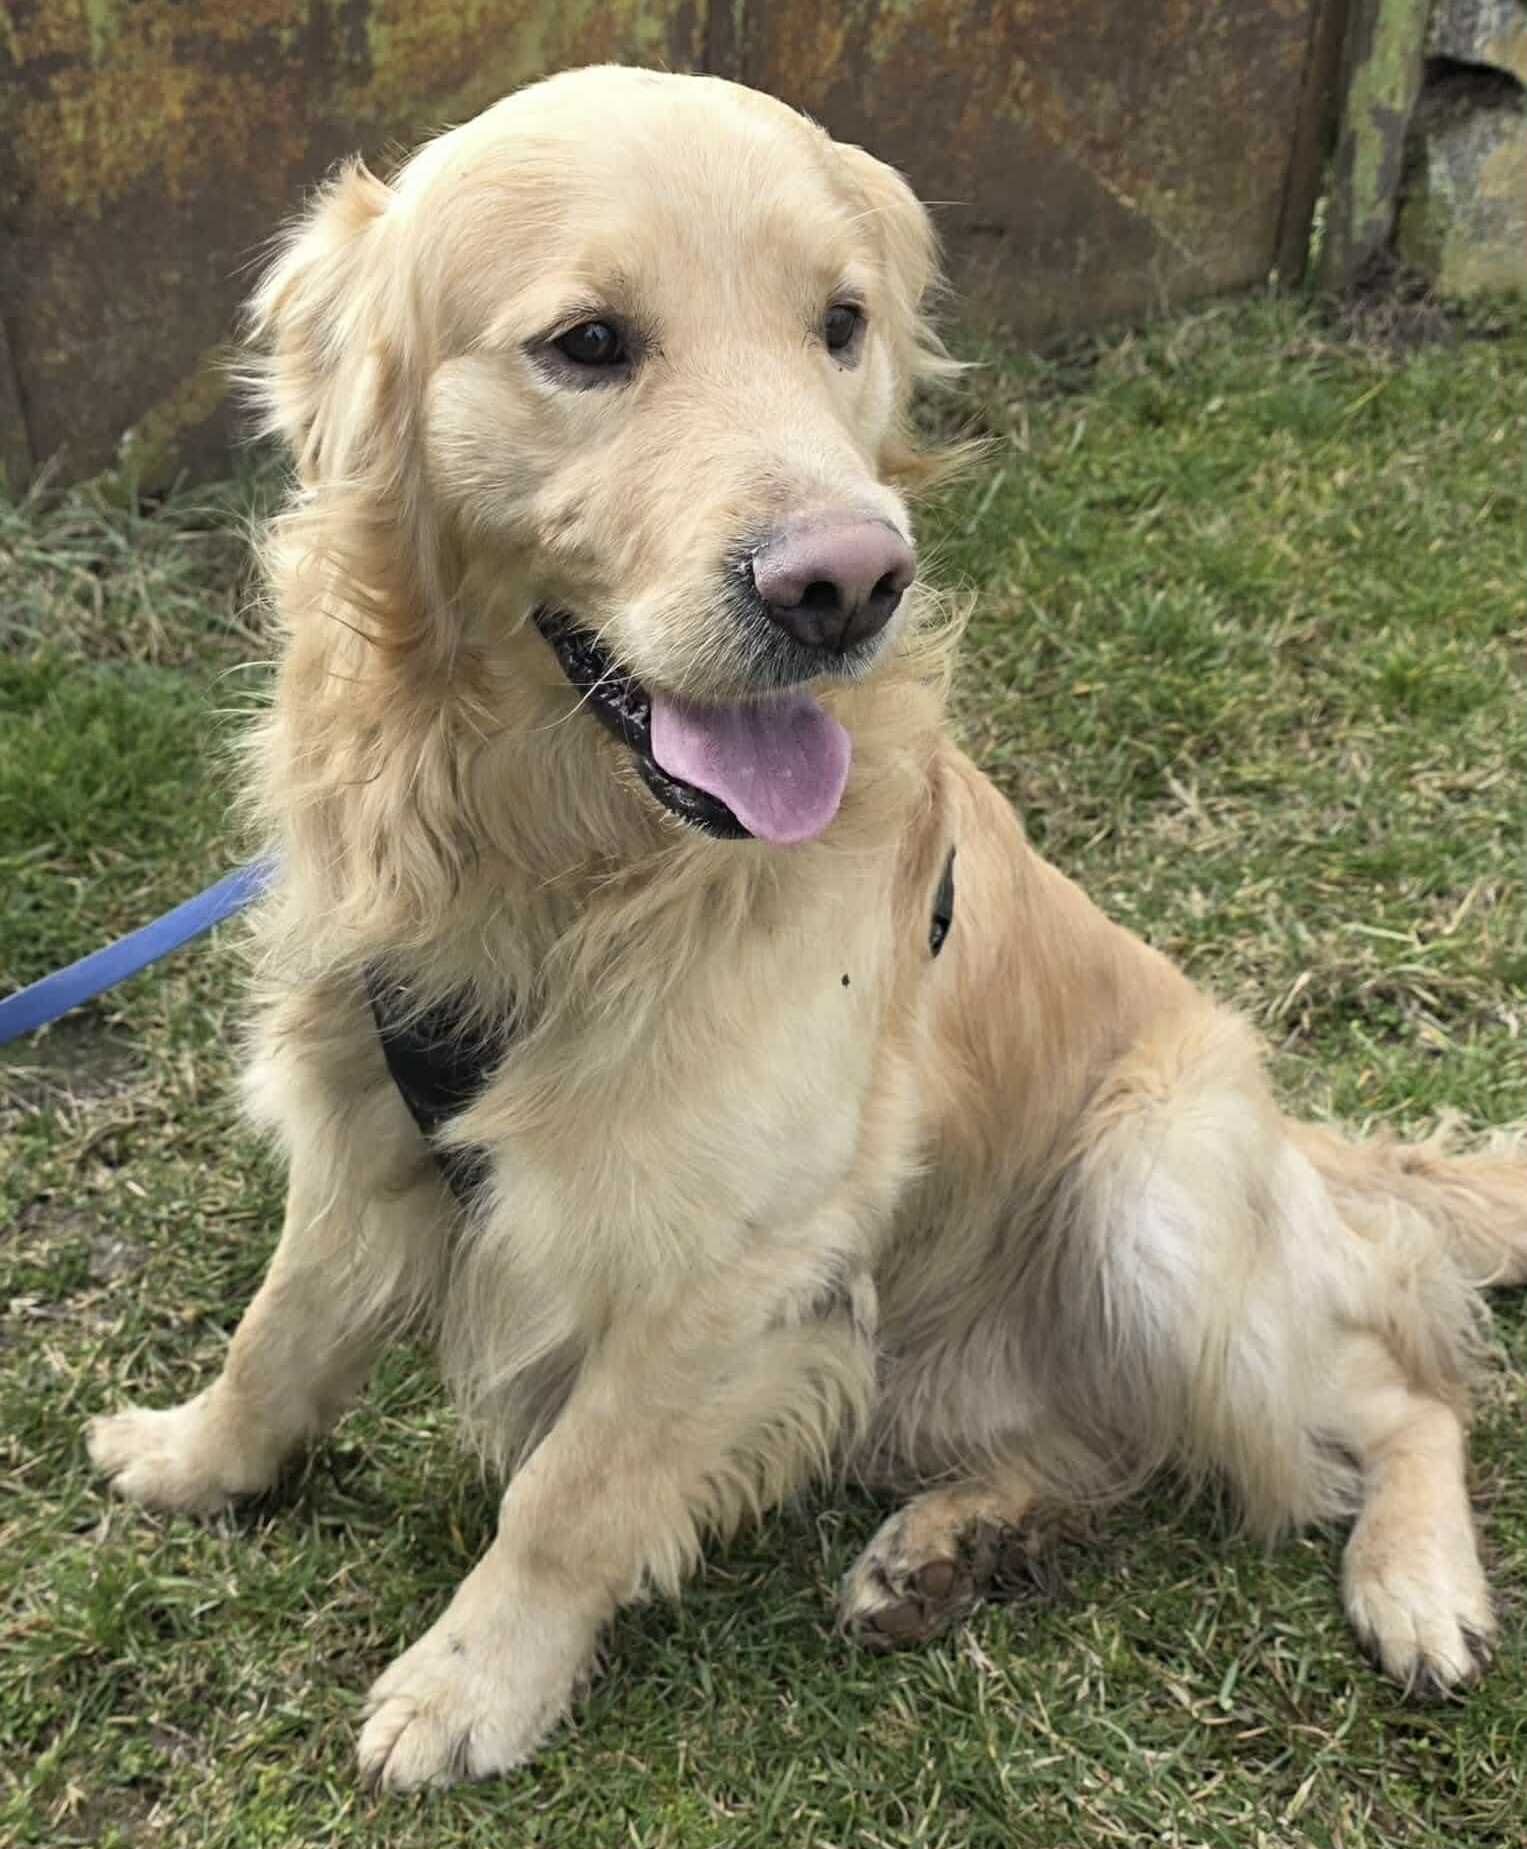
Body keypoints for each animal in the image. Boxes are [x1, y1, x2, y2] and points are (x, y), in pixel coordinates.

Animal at [88, 65, 1527, 1791]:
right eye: (588, 343)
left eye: (838, 323)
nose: (845, 583)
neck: (560, 859)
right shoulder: (360, 1105)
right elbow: (282, 1333)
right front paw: (194, 1460)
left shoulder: (734, 1252)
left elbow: (569, 1493)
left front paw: (468, 1685)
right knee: (1103, 1445)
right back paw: (949, 1546)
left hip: (1150, 1197)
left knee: (1395, 1388)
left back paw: (1414, 1583)